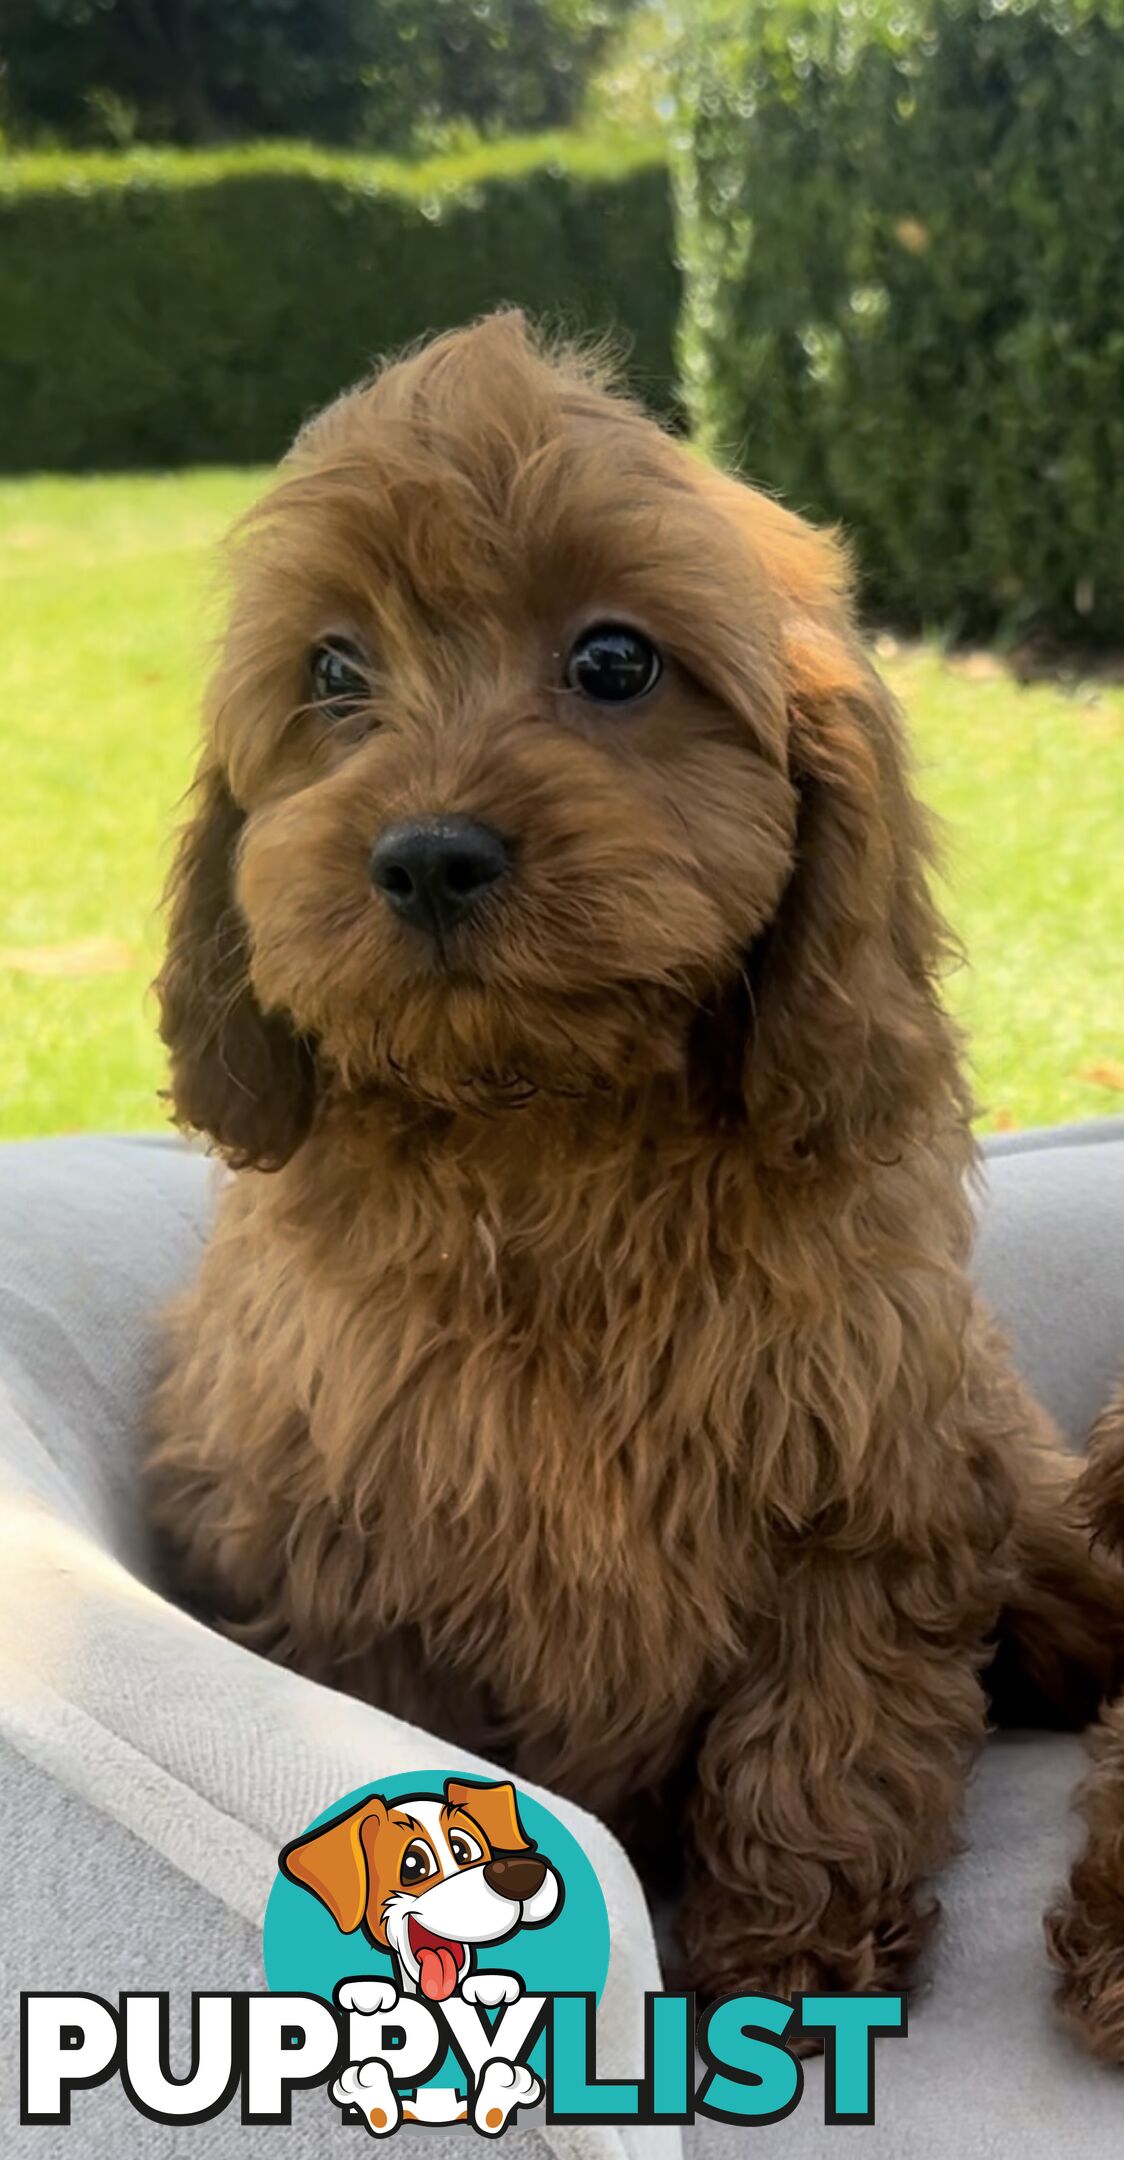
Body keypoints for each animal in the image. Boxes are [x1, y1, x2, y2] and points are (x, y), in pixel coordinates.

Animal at [149, 315, 1124, 2004]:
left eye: (616, 663)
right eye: (332, 673)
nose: (428, 855)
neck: (551, 1126)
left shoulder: (867, 1499)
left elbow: (822, 1748)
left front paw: (792, 1973)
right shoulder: (338, 1544)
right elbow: (404, 1750)